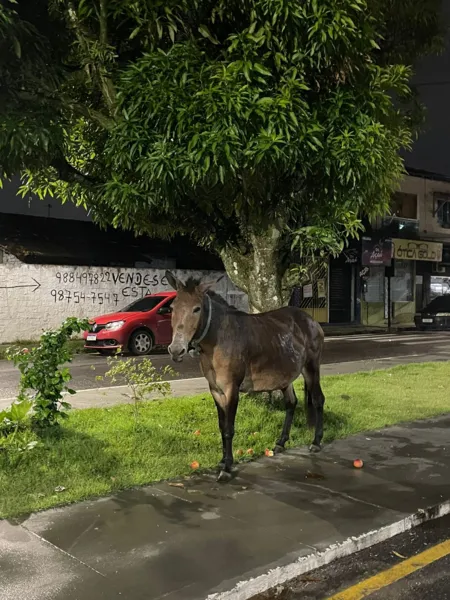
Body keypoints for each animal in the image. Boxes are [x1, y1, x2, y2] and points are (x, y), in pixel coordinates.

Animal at [167, 272, 326, 482]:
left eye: (196, 309)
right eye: (172, 307)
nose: (176, 350)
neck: (218, 339)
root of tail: (311, 320)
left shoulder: (231, 389)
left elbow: (229, 429)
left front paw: (227, 467)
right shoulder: (215, 390)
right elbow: (221, 426)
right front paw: (222, 460)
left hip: (311, 367)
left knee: (318, 400)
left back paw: (316, 441)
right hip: (285, 374)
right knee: (291, 403)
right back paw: (280, 442)